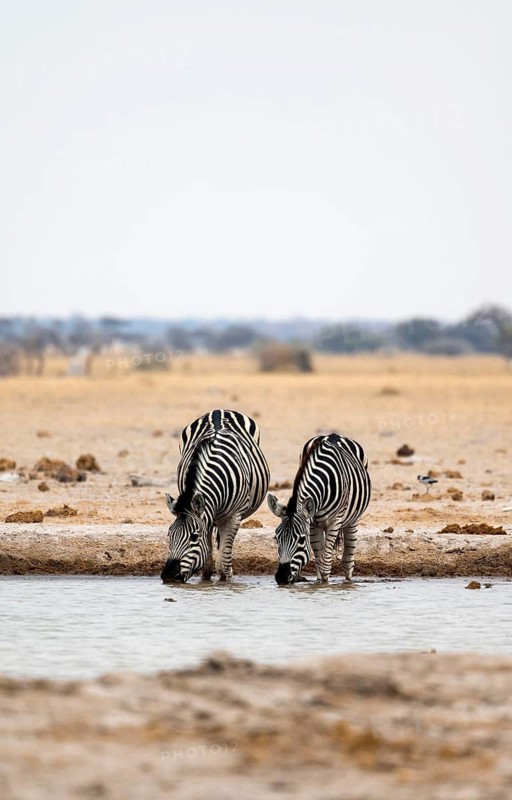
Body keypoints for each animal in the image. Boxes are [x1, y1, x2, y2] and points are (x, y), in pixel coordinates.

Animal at [161, 409, 270, 583]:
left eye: (194, 537)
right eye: (169, 534)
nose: (169, 576)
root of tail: (219, 410)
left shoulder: (234, 516)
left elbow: (222, 563)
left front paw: (226, 580)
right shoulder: (208, 516)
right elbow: (207, 558)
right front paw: (205, 580)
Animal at [267, 433, 371, 585]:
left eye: (301, 540)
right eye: (276, 538)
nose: (281, 578)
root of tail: (335, 435)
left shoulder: (334, 522)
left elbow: (325, 564)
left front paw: (325, 585)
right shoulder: (312, 524)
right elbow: (319, 559)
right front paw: (318, 584)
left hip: (353, 519)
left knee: (348, 559)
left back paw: (348, 581)